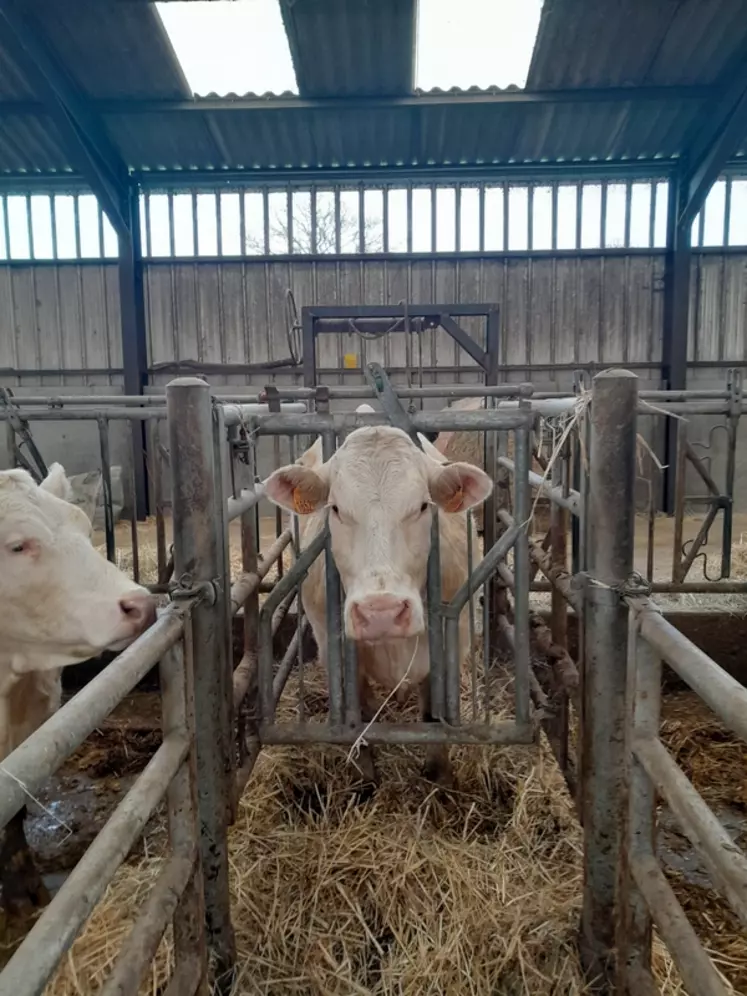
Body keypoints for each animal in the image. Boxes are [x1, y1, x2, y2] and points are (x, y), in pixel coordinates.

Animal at [266, 416, 494, 784]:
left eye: (422, 506)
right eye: (336, 509)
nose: (381, 613)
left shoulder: (452, 643)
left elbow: (434, 716)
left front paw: (439, 775)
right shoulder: (334, 650)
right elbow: (355, 717)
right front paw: (367, 775)